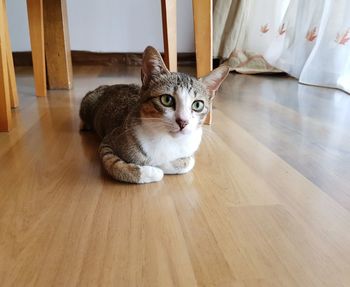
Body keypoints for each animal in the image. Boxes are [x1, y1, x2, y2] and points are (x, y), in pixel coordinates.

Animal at [80, 45, 230, 183]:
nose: (183, 122)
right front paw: (152, 172)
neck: (167, 139)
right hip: (87, 105)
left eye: (197, 105)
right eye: (167, 100)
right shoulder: (108, 141)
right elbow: (114, 166)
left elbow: (188, 162)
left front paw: (162, 165)